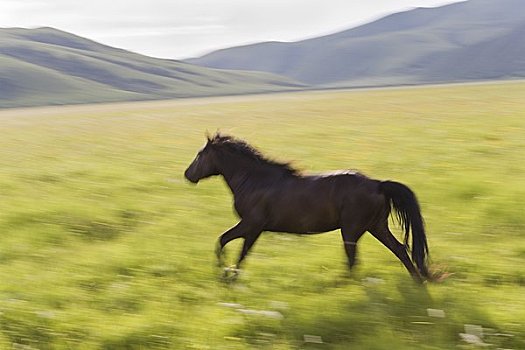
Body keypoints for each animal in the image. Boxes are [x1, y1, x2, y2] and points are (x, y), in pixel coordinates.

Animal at [184, 133, 430, 284]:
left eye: (199, 154)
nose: (188, 175)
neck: (255, 180)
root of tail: (378, 184)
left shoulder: (252, 225)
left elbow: (231, 246)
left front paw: (226, 274)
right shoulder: (253, 228)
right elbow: (231, 245)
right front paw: (227, 273)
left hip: (351, 230)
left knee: (354, 259)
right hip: (375, 226)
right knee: (400, 249)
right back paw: (418, 281)